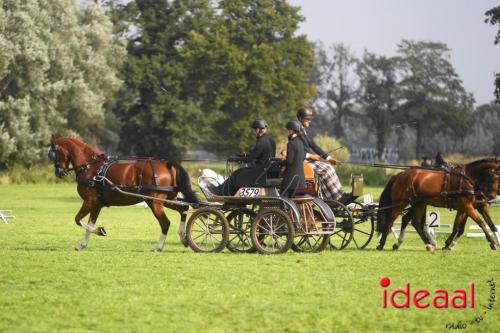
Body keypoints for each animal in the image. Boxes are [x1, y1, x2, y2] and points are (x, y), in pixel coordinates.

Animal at [47, 134, 198, 249]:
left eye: (53, 153)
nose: (59, 172)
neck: (90, 167)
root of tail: (167, 164)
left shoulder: (89, 201)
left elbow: (78, 220)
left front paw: (100, 231)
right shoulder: (97, 204)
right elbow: (90, 223)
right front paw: (83, 244)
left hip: (154, 202)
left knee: (165, 222)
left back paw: (158, 247)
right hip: (165, 200)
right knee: (183, 209)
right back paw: (183, 237)